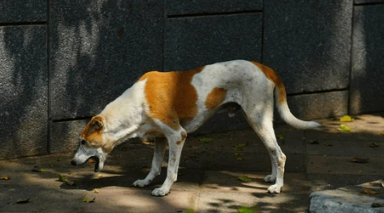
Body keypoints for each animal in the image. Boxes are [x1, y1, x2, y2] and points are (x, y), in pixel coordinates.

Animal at [70, 60, 320, 196]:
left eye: (83, 141)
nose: (71, 162)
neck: (136, 102)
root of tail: (265, 67)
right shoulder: (160, 138)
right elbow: (154, 165)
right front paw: (146, 181)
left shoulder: (176, 135)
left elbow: (171, 169)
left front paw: (164, 190)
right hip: (258, 121)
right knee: (273, 152)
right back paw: (273, 178)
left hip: (258, 119)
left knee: (280, 155)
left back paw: (278, 187)